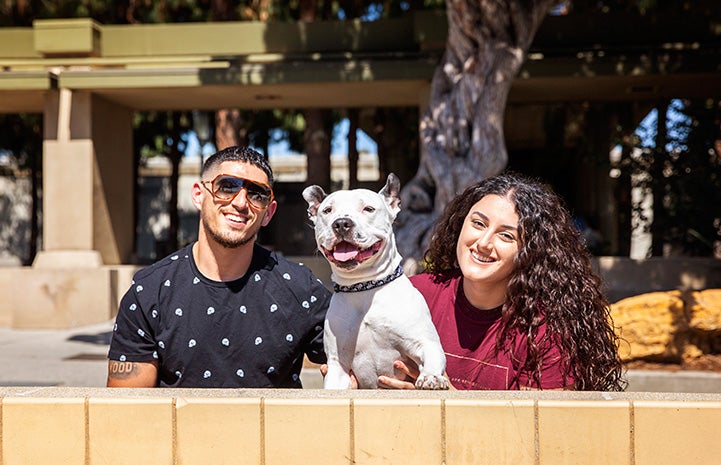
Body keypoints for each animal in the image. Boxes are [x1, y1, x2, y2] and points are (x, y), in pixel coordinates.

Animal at [300, 173, 448, 388]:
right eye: (327, 210)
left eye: (368, 209)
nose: (341, 223)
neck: (364, 286)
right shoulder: (338, 365)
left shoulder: (424, 342)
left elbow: (432, 355)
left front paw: (431, 377)